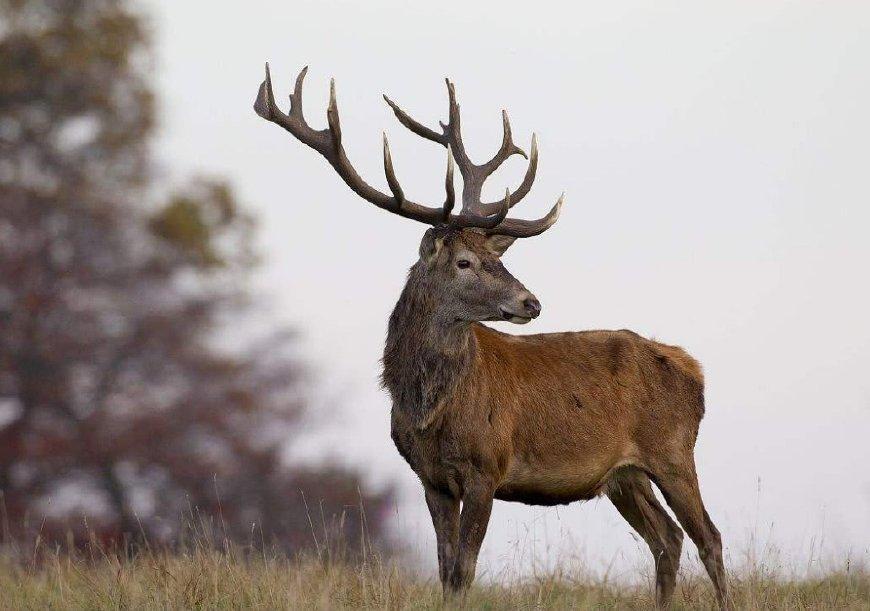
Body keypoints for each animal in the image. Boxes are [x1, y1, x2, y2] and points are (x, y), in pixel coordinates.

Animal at [255, 64, 732, 608]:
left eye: (496, 257)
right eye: (465, 262)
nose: (531, 302)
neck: (429, 409)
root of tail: (694, 368)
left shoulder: (487, 465)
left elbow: (465, 569)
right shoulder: (431, 479)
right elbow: (445, 569)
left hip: (673, 449)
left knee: (709, 537)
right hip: (623, 476)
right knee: (667, 539)